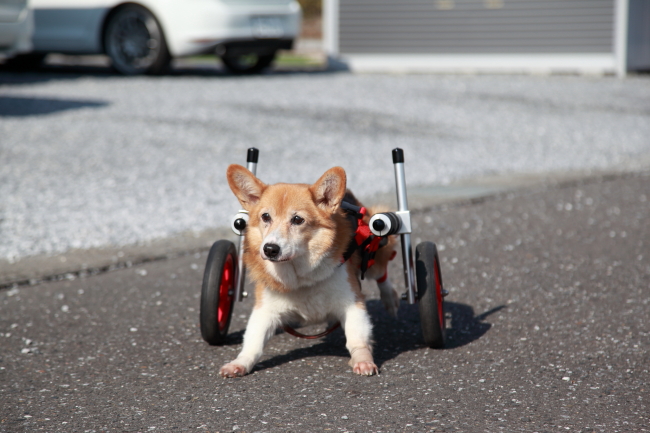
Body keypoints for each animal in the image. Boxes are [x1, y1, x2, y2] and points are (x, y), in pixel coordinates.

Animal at [220, 164, 398, 376]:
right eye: (265, 217)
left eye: (298, 219)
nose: (270, 249)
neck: (300, 276)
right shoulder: (265, 310)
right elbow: (253, 341)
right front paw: (239, 363)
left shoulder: (353, 303)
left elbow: (357, 338)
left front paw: (363, 360)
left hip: (374, 250)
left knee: (381, 273)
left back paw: (390, 299)